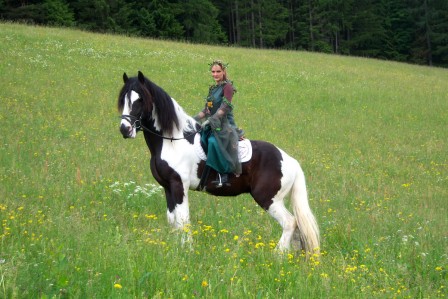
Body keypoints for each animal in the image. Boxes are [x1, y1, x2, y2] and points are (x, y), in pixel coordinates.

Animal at [115, 71, 318, 254]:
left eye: (140, 100)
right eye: (123, 100)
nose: (125, 129)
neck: (172, 140)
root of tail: (289, 160)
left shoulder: (179, 185)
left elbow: (183, 220)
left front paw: (187, 250)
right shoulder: (167, 187)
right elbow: (172, 220)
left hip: (269, 199)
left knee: (290, 223)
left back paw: (278, 255)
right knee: (297, 228)